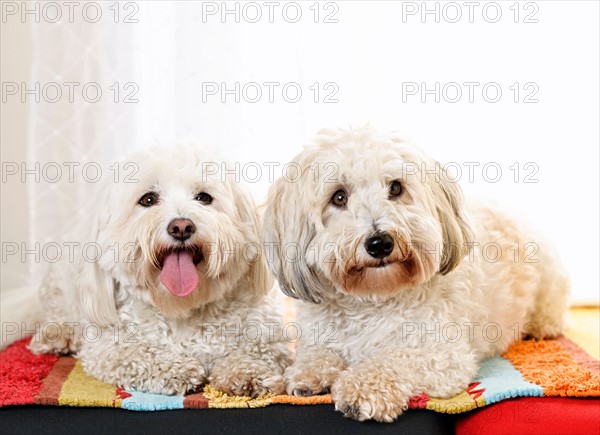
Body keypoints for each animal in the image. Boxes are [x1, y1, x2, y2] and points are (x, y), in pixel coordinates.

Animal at [24, 145, 292, 396]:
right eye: (148, 199)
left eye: (204, 198)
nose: (181, 226)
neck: (182, 307)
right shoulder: (107, 346)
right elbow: (135, 354)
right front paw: (178, 369)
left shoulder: (265, 332)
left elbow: (258, 350)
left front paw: (247, 373)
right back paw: (55, 335)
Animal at [264, 127, 568, 424]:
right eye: (339, 197)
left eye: (396, 187)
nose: (380, 243)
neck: (371, 299)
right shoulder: (318, 336)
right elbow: (317, 354)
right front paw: (307, 374)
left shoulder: (442, 355)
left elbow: (393, 359)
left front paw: (359, 389)